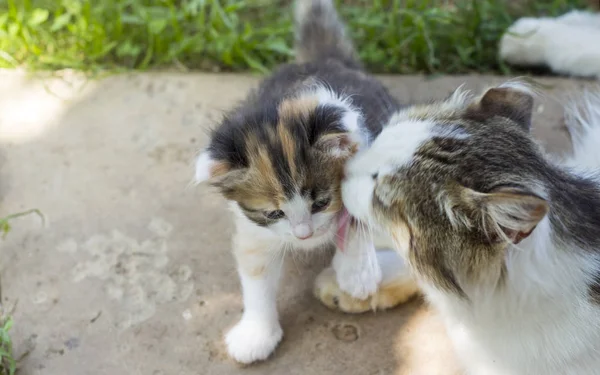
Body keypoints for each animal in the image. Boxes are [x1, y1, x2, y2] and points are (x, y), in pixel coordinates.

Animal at [193, 0, 398, 364]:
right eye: (274, 213)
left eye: (322, 202)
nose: (304, 236)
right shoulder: (255, 229)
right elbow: (256, 273)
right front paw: (257, 332)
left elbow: (359, 208)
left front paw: (356, 272)